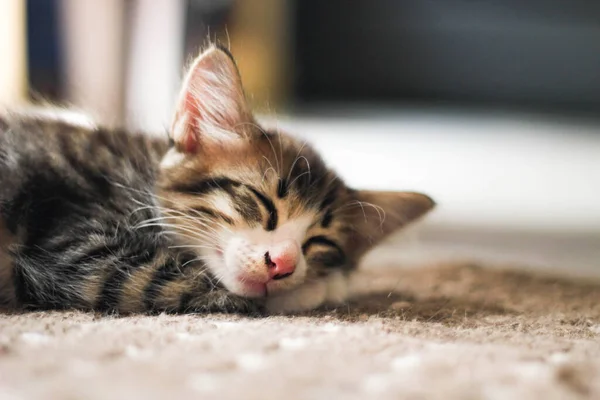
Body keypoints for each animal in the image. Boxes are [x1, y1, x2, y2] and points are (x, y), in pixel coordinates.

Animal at [0, 45, 434, 316]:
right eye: (261, 203)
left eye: (320, 243)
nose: (283, 264)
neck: (141, 177)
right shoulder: (81, 251)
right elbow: (210, 287)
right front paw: (321, 287)